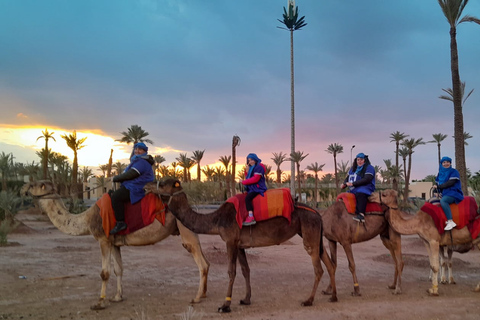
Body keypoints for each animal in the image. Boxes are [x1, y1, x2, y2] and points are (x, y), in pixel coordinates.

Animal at [20, 181, 209, 312]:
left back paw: (196, 298)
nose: (22, 188)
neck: (87, 218)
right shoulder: (114, 243)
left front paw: (99, 303)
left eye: (34, 184)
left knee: (201, 263)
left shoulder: (103, 239)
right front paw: (117, 297)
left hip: (185, 228)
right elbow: (119, 269)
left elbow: (105, 273)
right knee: (205, 262)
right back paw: (204, 294)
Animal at [145, 179, 338, 314]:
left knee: (318, 268)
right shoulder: (240, 245)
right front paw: (246, 299)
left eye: (163, 183)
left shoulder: (230, 241)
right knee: (329, 264)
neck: (217, 219)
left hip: (309, 232)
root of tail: (318, 214)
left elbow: (231, 271)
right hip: (313, 234)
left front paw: (225, 305)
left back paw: (308, 300)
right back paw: (334, 296)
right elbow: (246, 270)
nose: (147, 186)